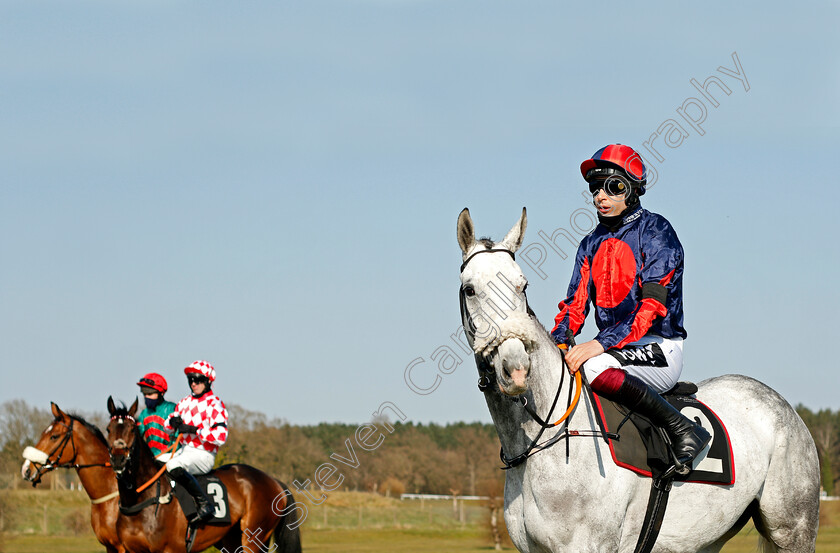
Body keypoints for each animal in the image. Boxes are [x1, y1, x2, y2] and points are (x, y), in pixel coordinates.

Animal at [104, 396, 302, 552]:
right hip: (232, 539)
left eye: (132, 429)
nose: (118, 460)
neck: (140, 500)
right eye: (108, 429)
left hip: (254, 538)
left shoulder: (169, 550)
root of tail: (275, 481)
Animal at [456, 208, 816, 552]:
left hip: (793, 530)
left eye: (523, 285)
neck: (541, 443)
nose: (516, 368)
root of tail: (782, 405)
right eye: (470, 289)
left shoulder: (589, 546)